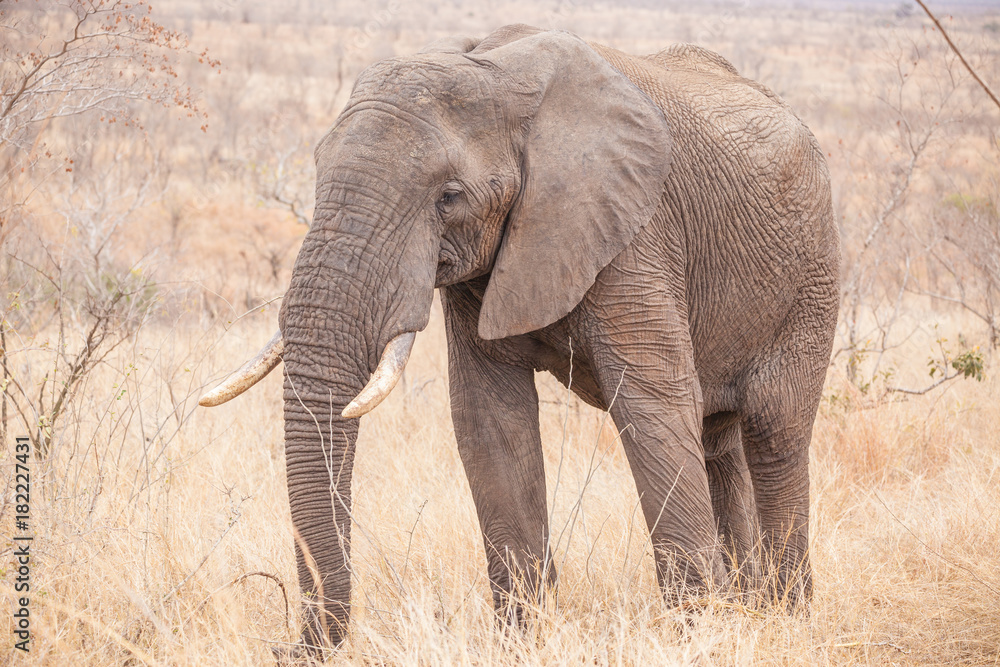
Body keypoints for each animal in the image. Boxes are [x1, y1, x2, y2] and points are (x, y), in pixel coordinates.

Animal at [200, 24, 840, 656]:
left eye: (449, 196)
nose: (285, 647)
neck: (496, 74)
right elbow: (489, 419)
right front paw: (523, 643)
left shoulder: (636, 231)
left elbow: (652, 406)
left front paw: (698, 638)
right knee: (719, 440)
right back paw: (752, 611)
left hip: (811, 280)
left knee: (775, 430)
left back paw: (786, 617)